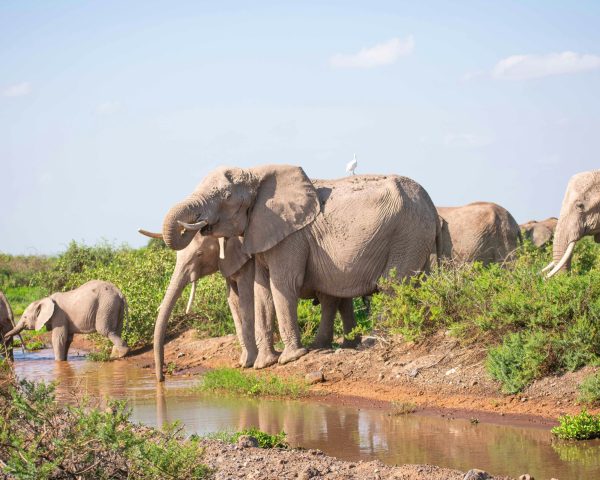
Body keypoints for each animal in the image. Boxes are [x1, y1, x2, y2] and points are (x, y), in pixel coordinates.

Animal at [162, 165, 438, 368]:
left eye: (226, 197)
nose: (196, 224)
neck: (256, 173)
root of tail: (432, 204)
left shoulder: (291, 237)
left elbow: (282, 285)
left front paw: (289, 358)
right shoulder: (262, 234)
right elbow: (263, 290)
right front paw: (264, 364)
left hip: (408, 232)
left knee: (392, 285)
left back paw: (373, 343)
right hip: (417, 237)